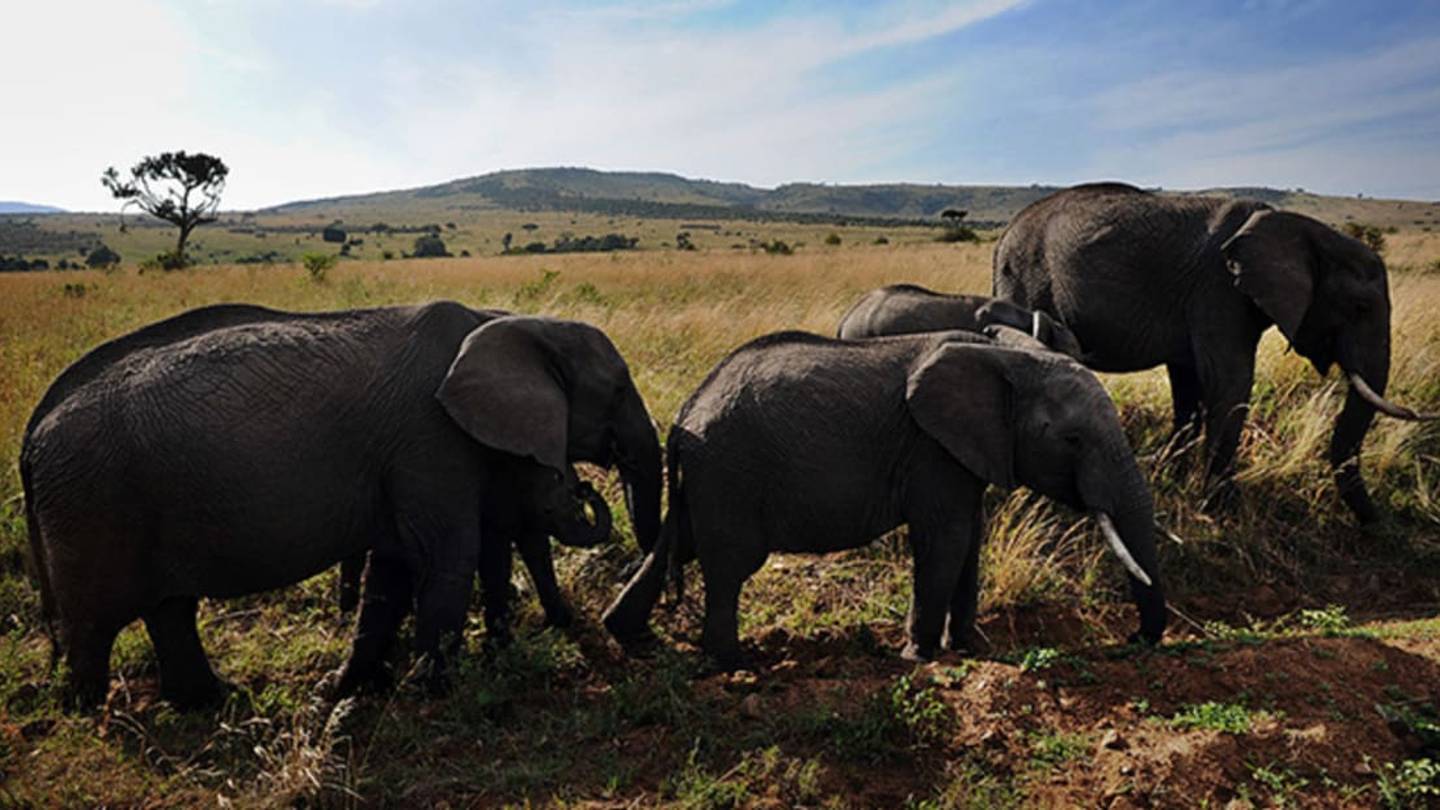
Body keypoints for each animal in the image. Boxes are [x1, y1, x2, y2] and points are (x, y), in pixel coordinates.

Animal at [21, 301, 662, 708]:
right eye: (619, 389)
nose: (585, 486)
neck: (506, 323)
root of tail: (34, 433)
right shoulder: (431, 440)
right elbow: (445, 558)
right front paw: (434, 695)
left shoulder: (408, 456)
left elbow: (393, 570)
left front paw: (348, 691)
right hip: (90, 504)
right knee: (94, 627)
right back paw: (93, 715)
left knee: (169, 609)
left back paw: (212, 703)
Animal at [603, 329, 1166, 669]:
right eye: (1072, 439)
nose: (1135, 640)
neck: (1007, 358)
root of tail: (685, 414)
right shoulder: (931, 449)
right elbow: (945, 540)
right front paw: (920, 656)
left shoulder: (962, 453)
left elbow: (969, 541)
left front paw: (969, 647)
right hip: (730, 471)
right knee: (728, 565)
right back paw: (734, 664)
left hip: (710, 477)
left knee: (677, 545)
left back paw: (630, 636)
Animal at [992, 182, 1435, 523]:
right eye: (1359, 308)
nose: (1378, 523)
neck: (1298, 228)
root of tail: (1003, 236)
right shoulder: (1218, 290)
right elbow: (1229, 382)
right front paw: (1222, 512)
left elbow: (1189, 385)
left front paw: (1172, 477)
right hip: (1025, 279)